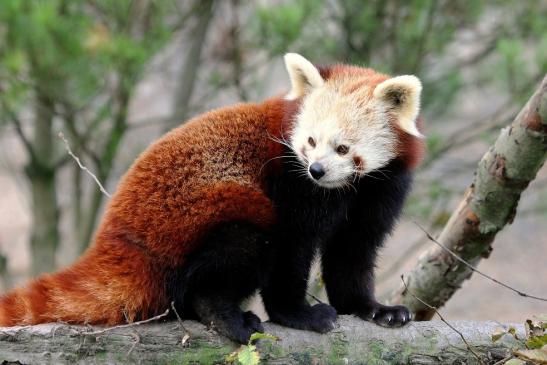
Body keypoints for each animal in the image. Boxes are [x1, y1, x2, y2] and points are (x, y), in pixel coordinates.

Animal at [0, 53, 424, 342]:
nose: (317, 170)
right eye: (309, 142)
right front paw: (297, 314)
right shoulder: (290, 183)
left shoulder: (380, 189)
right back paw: (224, 314)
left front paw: (371, 309)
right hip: (207, 218)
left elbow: (353, 251)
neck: (347, 189)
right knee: (246, 242)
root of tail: (116, 239)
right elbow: (291, 247)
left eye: (342, 148)